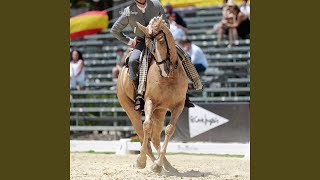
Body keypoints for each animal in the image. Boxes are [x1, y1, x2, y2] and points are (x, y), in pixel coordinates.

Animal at [117, 15, 188, 173]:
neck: (170, 77)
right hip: (131, 110)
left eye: (161, 38)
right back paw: (146, 161)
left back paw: (165, 165)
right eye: (149, 46)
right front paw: (141, 160)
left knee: (155, 138)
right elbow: (147, 126)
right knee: (142, 134)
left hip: (160, 111)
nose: (165, 70)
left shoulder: (178, 106)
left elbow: (169, 130)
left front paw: (158, 164)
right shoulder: (150, 101)